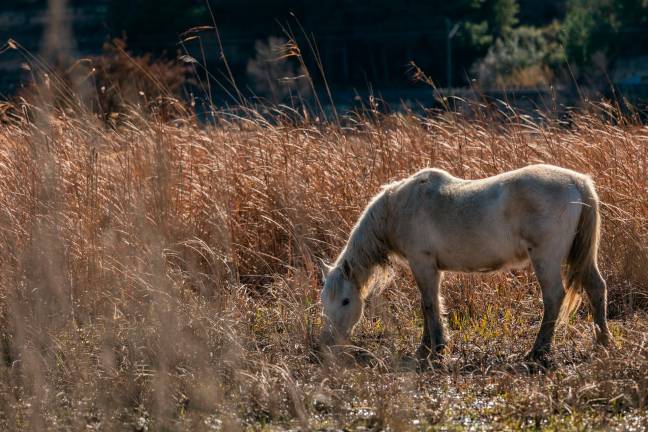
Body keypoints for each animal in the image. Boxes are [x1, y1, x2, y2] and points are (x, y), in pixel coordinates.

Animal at [324, 164, 612, 360]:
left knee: (553, 298)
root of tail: (578, 181)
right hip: (580, 258)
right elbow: (428, 304)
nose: (330, 341)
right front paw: (428, 346)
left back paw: (538, 350)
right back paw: (602, 341)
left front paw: (435, 348)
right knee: (596, 288)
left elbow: (429, 304)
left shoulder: (423, 263)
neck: (398, 206)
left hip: (546, 259)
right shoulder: (429, 268)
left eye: (346, 301)